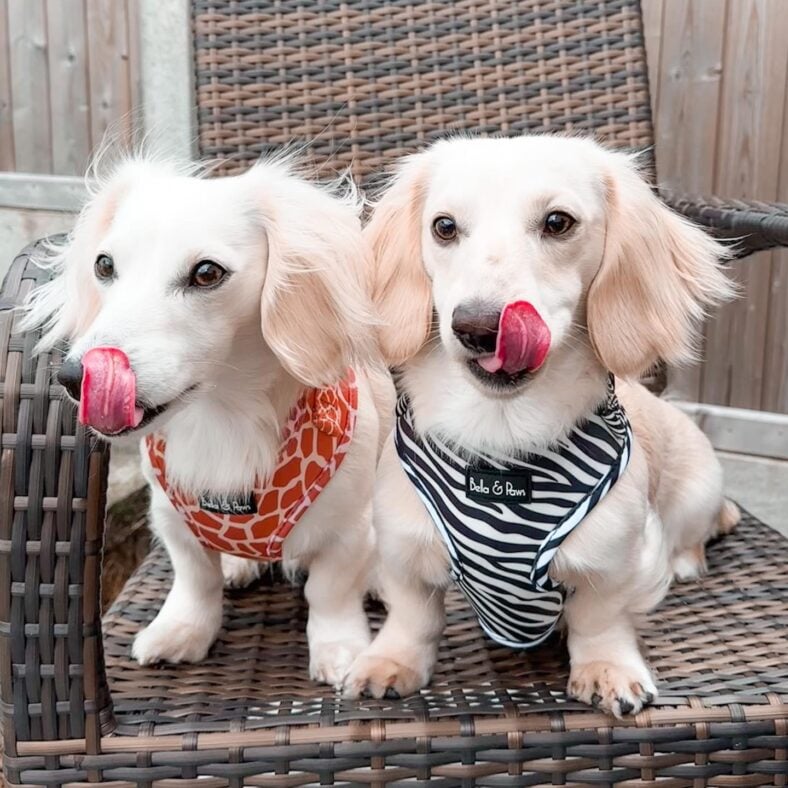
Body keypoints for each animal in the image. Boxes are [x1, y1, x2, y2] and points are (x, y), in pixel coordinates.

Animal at [24, 154, 394, 684]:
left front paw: (338, 648)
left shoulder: (349, 528)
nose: (75, 378)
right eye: (104, 264)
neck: (224, 419)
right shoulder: (171, 519)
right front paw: (182, 631)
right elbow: (196, 580)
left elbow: (330, 591)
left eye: (205, 273)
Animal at [344, 135, 740, 716]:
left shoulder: (614, 560)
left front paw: (607, 670)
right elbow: (413, 616)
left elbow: (600, 620)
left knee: (695, 531)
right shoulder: (402, 546)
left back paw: (684, 560)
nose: (479, 327)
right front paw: (389, 661)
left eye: (558, 222)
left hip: (696, 491)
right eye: (444, 226)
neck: (501, 437)